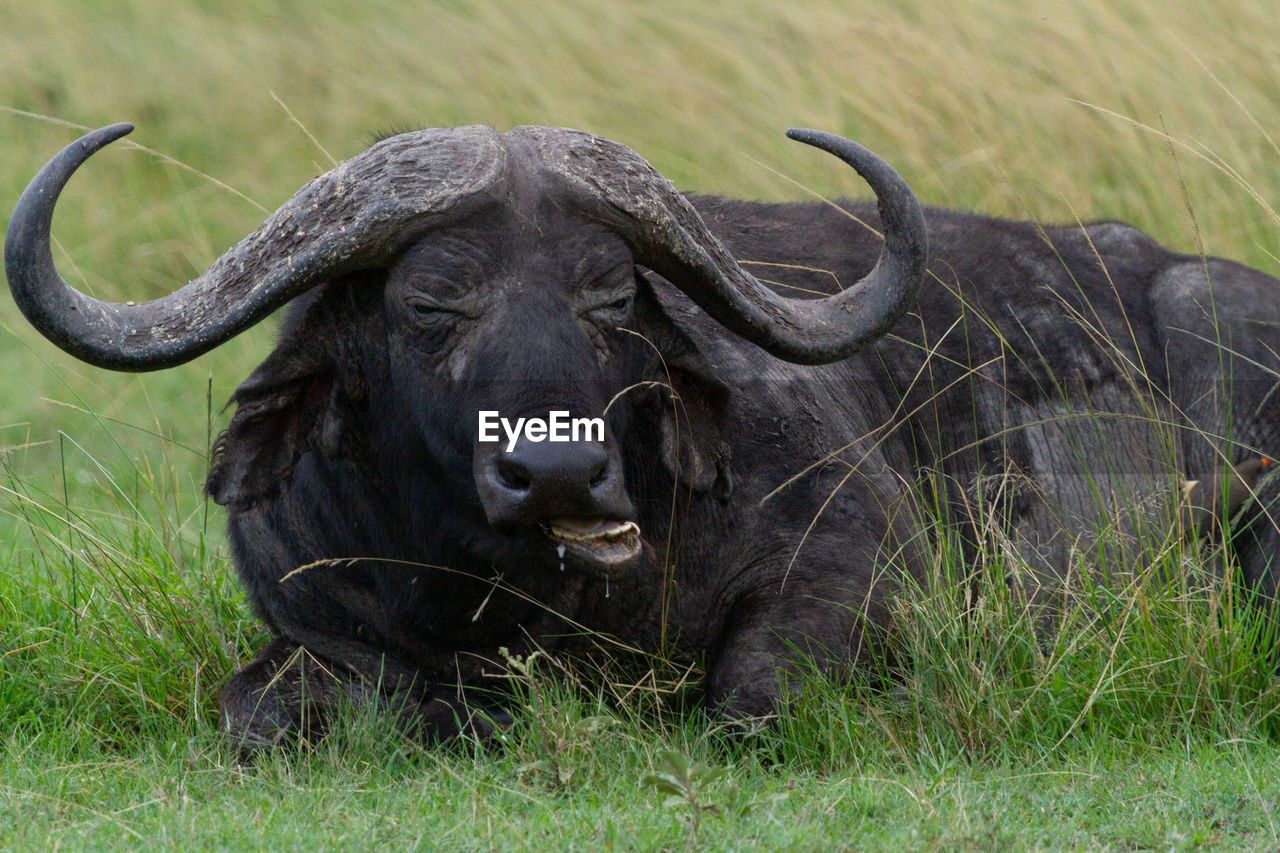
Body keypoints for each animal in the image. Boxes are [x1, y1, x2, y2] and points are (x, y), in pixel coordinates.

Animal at [10, 121, 1280, 742]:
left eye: (611, 295)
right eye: (431, 303)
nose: (557, 469)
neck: (527, 594)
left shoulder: (856, 571)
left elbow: (755, 706)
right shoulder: (313, 621)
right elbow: (262, 713)